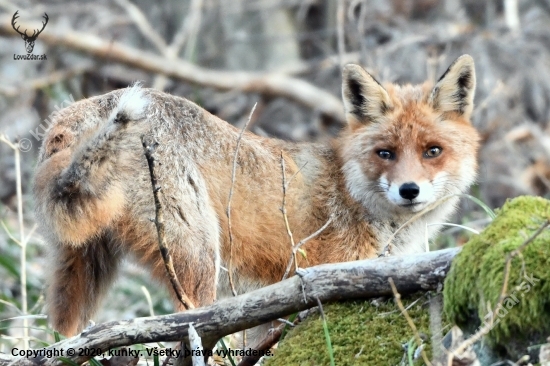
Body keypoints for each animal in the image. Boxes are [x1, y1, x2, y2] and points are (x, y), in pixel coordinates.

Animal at [34, 55, 480, 340]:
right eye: (385, 153)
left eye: (432, 151)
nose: (409, 190)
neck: (350, 190)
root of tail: (86, 107)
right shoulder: (317, 286)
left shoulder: (269, 311)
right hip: (199, 259)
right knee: (189, 331)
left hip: (78, 271)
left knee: (66, 337)